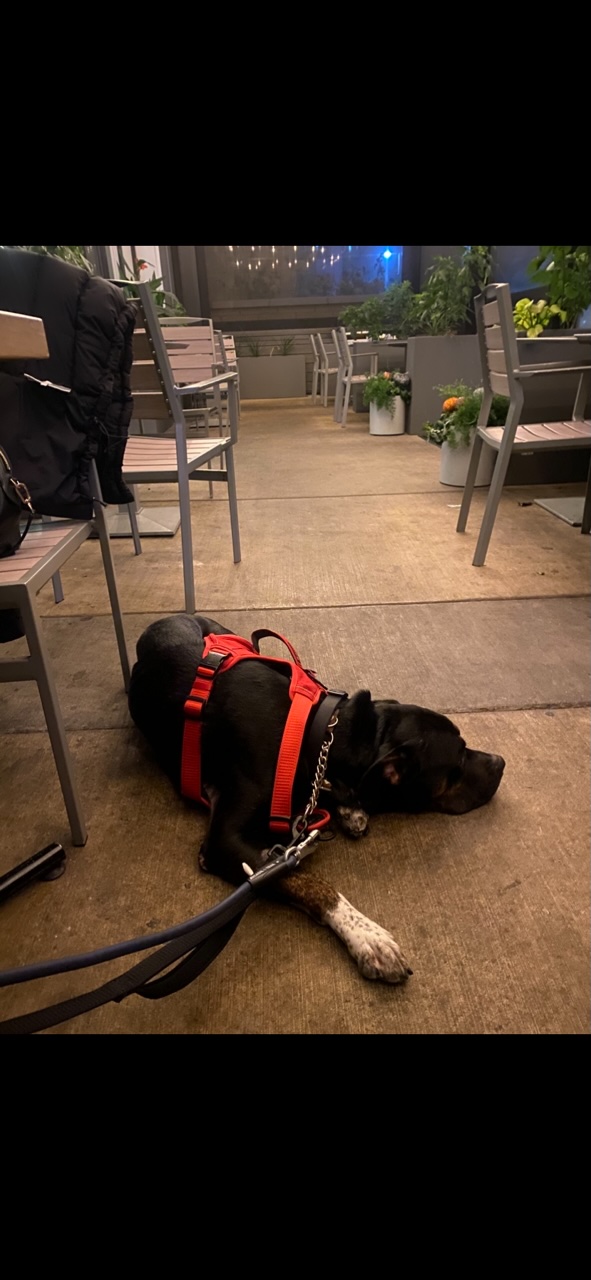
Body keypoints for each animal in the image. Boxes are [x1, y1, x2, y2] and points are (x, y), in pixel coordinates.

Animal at [128, 613, 505, 984]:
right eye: (458, 762)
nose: (501, 763)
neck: (320, 734)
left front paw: (350, 807)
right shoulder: (224, 842)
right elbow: (307, 880)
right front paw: (367, 936)